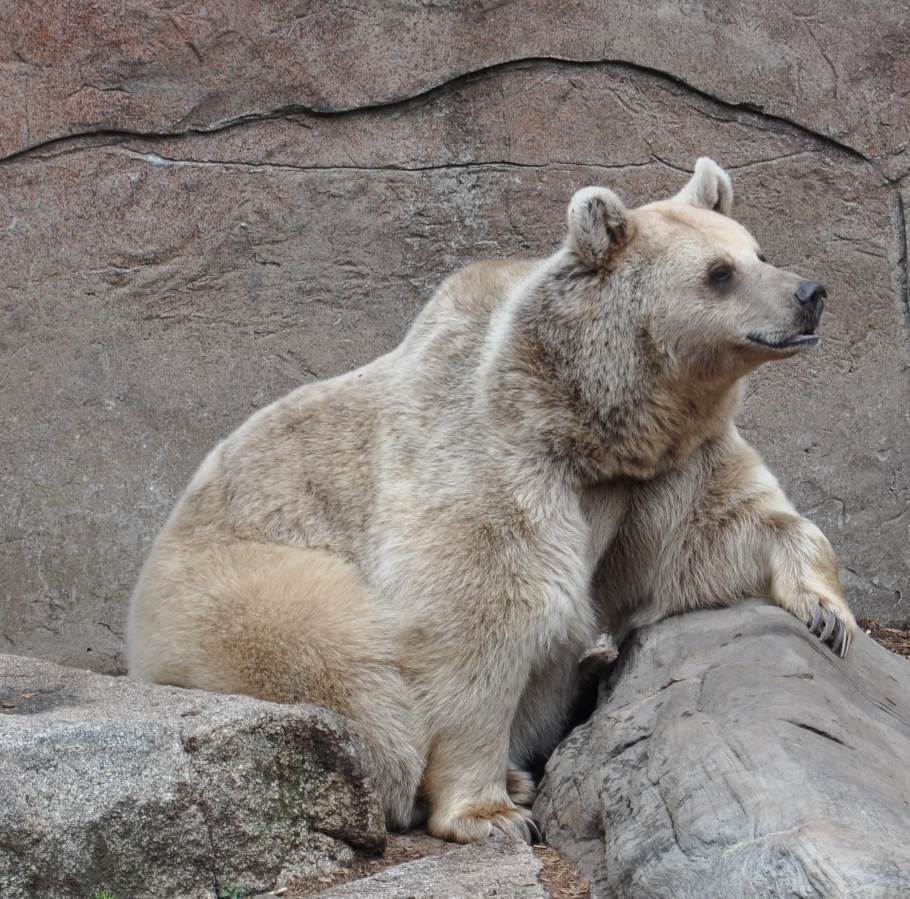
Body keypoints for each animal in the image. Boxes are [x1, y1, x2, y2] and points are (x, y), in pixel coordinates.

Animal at [127, 158, 856, 844]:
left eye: (759, 250)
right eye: (719, 272)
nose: (810, 294)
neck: (590, 423)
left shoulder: (662, 470)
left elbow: (717, 531)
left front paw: (826, 612)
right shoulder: (495, 453)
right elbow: (480, 617)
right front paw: (487, 812)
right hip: (232, 591)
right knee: (350, 665)